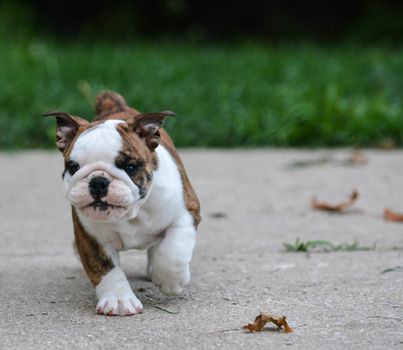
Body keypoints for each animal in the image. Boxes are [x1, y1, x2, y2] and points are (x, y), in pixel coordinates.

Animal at [45, 91, 201, 316]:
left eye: (130, 167)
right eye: (73, 167)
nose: (98, 181)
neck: (133, 212)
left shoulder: (186, 214)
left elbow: (174, 251)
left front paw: (171, 281)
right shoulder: (91, 237)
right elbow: (107, 269)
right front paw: (118, 299)